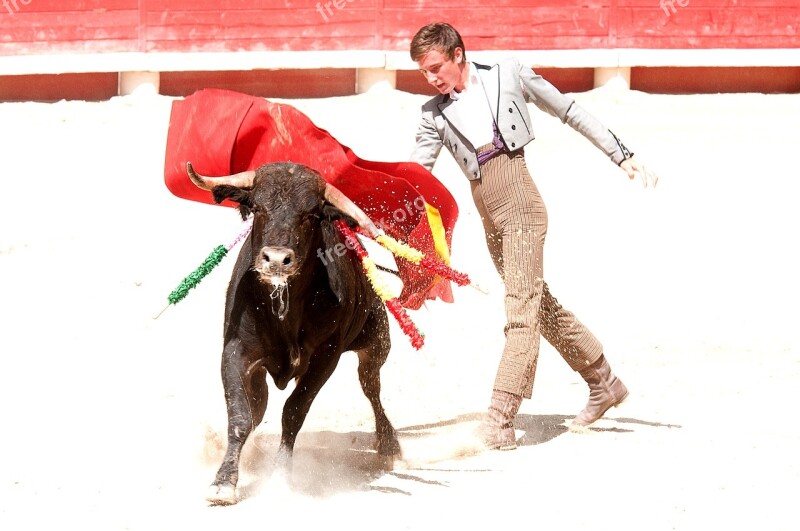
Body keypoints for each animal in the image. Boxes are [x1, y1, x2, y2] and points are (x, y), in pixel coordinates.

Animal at [195, 163, 400, 508]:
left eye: (311, 214)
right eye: (258, 208)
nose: (277, 259)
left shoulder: (326, 358)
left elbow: (294, 411)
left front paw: (280, 477)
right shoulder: (236, 352)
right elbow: (240, 415)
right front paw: (223, 483)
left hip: (375, 344)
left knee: (372, 387)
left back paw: (389, 445)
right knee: (257, 407)